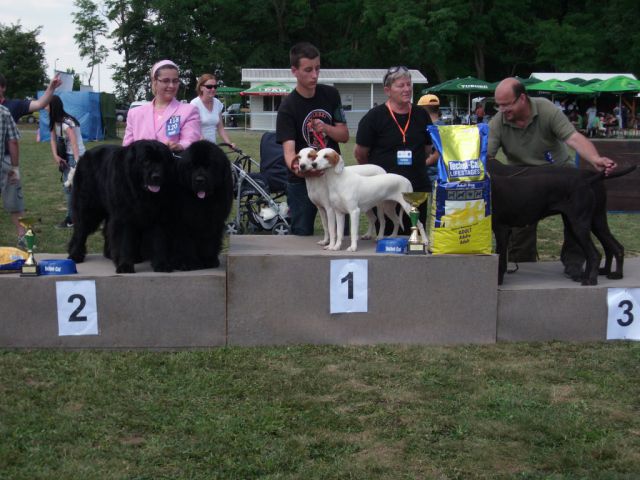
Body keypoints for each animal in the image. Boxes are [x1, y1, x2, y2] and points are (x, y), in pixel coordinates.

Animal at [67, 141, 175, 272]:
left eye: (162, 161)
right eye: (145, 161)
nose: (156, 176)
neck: (139, 192)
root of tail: (84, 155)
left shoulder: (158, 215)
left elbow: (159, 240)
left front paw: (161, 264)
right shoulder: (123, 216)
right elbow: (124, 242)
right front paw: (125, 266)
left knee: (106, 229)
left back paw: (109, 254)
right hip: (88, 206)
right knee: (81, 230)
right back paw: (75, 255)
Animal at [172, 140, 235, 270]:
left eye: (209, 166)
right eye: (192, 166)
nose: (199, 180)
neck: (202, 203)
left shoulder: (213, 220)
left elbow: (209, 241)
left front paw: (209, 261)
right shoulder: (182, 222)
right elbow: (185, 242)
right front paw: (187, 263)